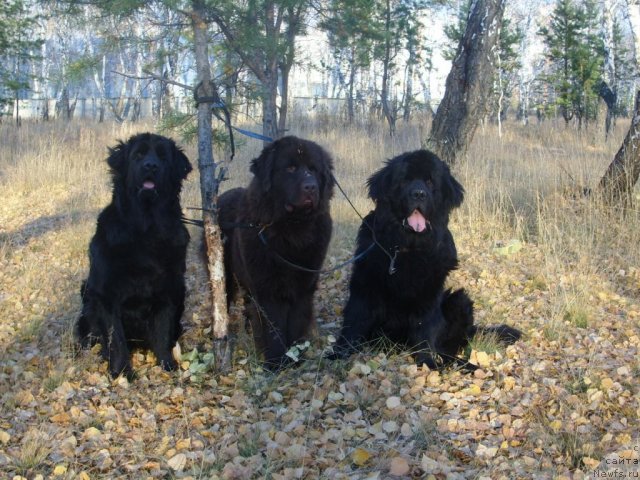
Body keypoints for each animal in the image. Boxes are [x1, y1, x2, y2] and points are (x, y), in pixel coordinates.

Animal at [75, 132, 192, 378]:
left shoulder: (168, 289)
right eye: (138, 155)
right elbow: (115, 338)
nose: (151, 166)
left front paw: (167, 366)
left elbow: (162, 330)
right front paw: (121, 372)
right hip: (87, 295)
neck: (146, 229)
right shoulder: (106, 293)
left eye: (163, 157)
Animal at [218, 137, 332, 370]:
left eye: (313, 170)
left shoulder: (303, 286)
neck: (293, 230)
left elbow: (296, 321)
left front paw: (295, 357)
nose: (311, 187)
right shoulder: (266, 287)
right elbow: (273, 327)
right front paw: (276, 362)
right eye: (290, 168)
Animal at [330, 150, 520, 372]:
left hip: (459, 300)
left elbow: (425, 332)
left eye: (430, 182)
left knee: (448, 348)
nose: (419, 194)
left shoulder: (429, 296)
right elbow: (353, 323)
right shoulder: (364, 288)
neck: (408, 248)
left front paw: (427, 363)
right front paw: (337, 354)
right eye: (404, 180)